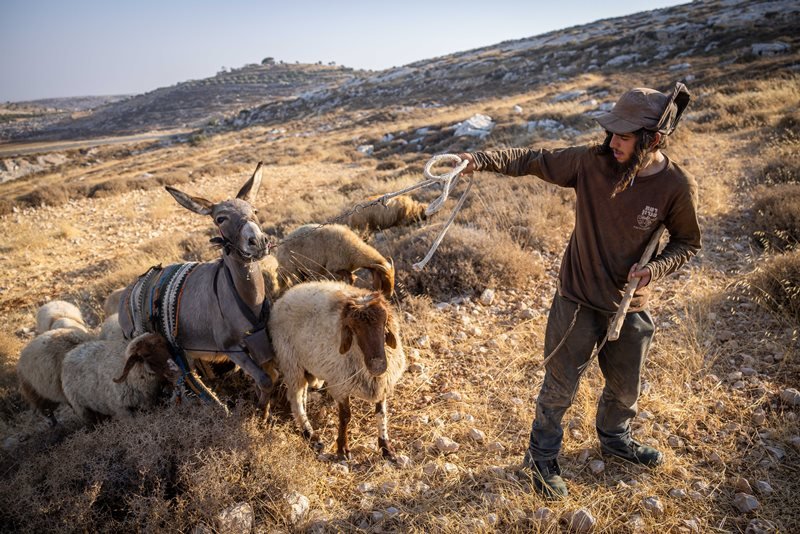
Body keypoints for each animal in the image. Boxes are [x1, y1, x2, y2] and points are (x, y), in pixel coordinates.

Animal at [268, 282, 406, 462]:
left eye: (383, 323)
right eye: (354, 329)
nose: (377, 366)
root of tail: (285, 296)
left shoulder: (382, 384)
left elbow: (381, 414)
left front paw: (386, 449)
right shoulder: (340, 386)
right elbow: (345, 417)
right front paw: (343, 450)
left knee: (302, 396)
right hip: (291, 363)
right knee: (295, 399)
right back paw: (310, 435)